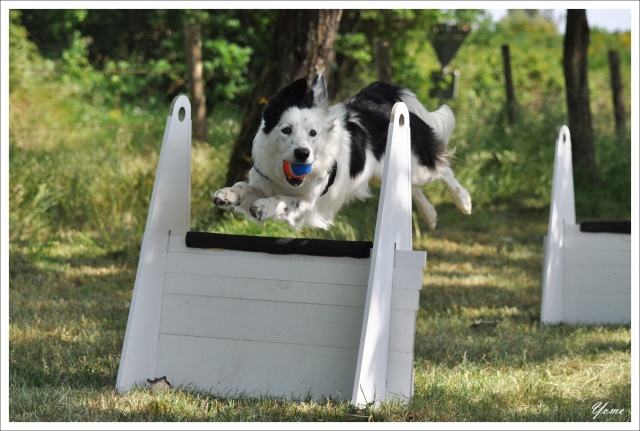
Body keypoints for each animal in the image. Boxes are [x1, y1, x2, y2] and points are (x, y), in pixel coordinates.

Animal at [212, 72, 472, 231]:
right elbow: (243, 187)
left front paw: (265, 206)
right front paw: (226, 194)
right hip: (381, 173)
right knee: (412, 186)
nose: (302, 154)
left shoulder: (306, 203)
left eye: (313, 133)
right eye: (286, 130)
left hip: (416, 165)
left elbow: (282, 200)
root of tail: (377, 96)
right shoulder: (262, 182)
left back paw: (463, 202)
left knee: (442, 169)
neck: (287, 180)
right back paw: (430, 215)